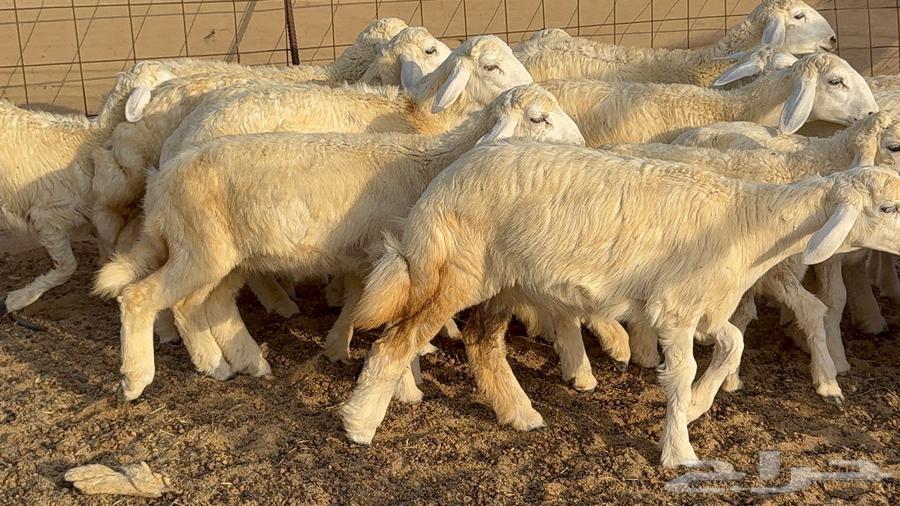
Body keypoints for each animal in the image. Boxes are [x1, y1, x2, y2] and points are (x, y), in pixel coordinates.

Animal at [0, 62, 176, 316]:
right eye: (165, 81)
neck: (94, 139)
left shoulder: (99, 219)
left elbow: (110, 254)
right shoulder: (47, 217)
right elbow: (68, 266)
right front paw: (19, 298)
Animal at [92, 83, 585, 401]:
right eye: (538, 118)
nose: (583, 144)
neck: (432, 164)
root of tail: (161, 180)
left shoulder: (367, 259)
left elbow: (357, 305)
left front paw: (339, 348)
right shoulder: (396, 257)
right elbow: (392, 320)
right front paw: (406, 386)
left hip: (224, 258)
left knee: (202, 305)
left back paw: (233, 364)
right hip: (200, 251)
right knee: (142, 298)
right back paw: (137, 379)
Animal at [340, 141, 900, 467]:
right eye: (888, 207)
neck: (748, 220)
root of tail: (441, 184)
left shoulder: (705, 307)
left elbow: (735, 345)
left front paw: (700, 405)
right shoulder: (675, 309)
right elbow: (682, 371)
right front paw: (679, 451)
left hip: (506, 280)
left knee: (481, 342)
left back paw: (519, 414)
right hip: (460, 270)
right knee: (397, 340)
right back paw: (360, 425)